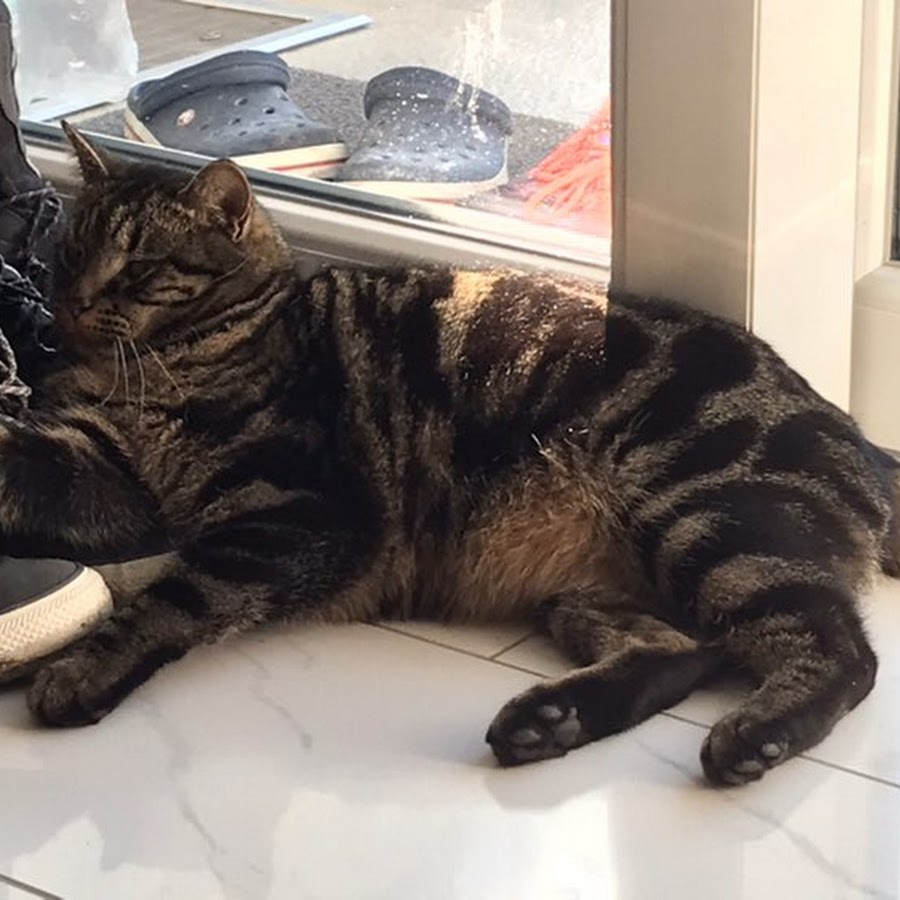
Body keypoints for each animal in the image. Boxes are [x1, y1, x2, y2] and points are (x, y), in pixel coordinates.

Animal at [0, 122, 895, 788]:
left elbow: (177, 597)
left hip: (705, 517)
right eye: (71, 250)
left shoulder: (301, 519)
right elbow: (30, 467)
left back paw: (755, 734)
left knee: (841, 651)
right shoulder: (97, 471)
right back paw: (548, 721)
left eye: (140, 267)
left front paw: (84, 670)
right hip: (599, 588)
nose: (70, 300)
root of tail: (849, 430)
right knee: (683, 650)